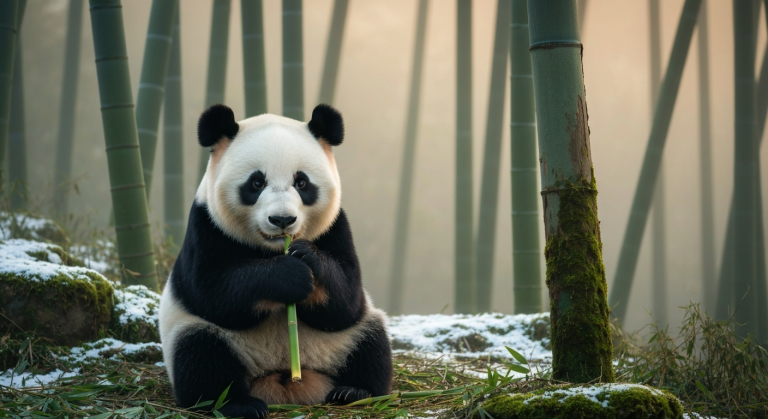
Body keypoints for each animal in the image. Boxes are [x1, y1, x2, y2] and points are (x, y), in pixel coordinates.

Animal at [158, 104, 393, 419]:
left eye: (302, 182)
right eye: (257, 183)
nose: (282, 219)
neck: (271, 250)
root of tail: (285, 380)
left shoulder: (336, 228)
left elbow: (346, 301)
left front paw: (307, 256)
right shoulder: (206, 226)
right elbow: (214, 294)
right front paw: (289, 276)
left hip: (346, 340)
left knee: (371, 344)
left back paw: (353, 391)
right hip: (200, 334)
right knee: (201, 355)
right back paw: (238, 403)